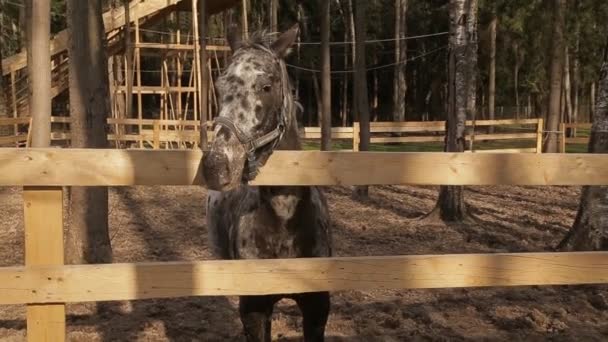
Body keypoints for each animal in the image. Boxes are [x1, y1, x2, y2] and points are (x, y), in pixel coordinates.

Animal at [202, 24, 330, 342]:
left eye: (266, 87)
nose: (216, 166)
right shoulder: (255, 309)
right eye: (220, 87)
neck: (285, 221)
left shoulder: (317, 309)